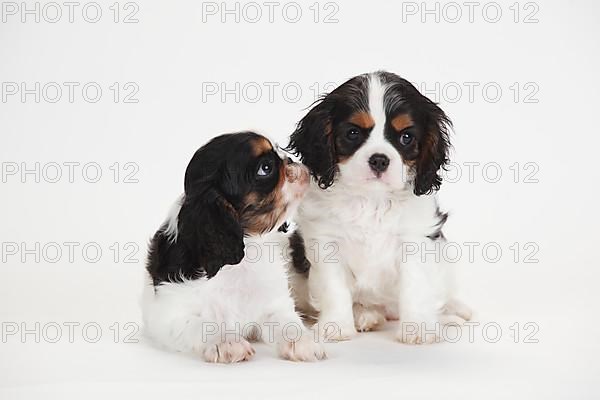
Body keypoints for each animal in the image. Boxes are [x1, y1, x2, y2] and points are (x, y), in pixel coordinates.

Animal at [141, 132, 326, 362]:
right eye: (265, 168)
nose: (291, 160)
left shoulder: (275, 302)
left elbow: (287, 320)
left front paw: (303, 340)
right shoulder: (170, 314)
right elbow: (202, 324)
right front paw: (226, 342)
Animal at [288, 71, 474, 344]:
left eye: (406, 137)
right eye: (353, 133)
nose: (379, 160)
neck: (372, 200)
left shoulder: (415, 240)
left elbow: (416, 287)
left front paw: (418, 328)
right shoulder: (326, 242)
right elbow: (334, 288)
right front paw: (337, 326)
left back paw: (455, 310)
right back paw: (365, 316)